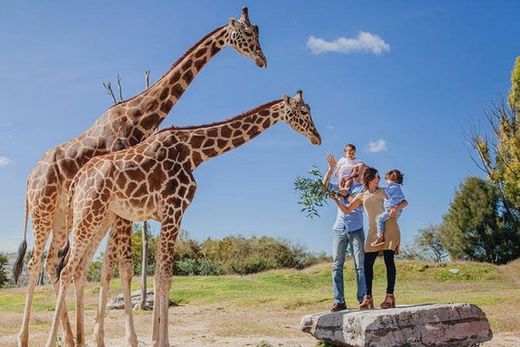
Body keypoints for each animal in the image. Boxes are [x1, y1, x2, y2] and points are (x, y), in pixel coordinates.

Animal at [14, 8, 266, 347]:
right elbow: (122, 266)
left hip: (62, 216)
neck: (138, 115)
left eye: (257, 32)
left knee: (56, 263)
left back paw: (69, 337)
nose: (262, 60)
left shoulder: (122, 202)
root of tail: (29, 178)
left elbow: (109, 265)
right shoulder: (123, 198)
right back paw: (27, 338)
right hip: (44, 210)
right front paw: (127, 337)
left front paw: (100, 336)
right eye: (247, 34)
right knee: (36, 262)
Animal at [45, 91, 320, 346]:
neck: (194, 153)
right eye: (303, 112)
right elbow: (164, 277)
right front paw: (161, 341)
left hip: (99, 216)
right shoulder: (174, 209)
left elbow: (159, 275)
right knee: (66, 269)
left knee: (76, 268)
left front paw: (157, 339)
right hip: (89, 213)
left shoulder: (165, 215)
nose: (317, 137)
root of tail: (77, 179)